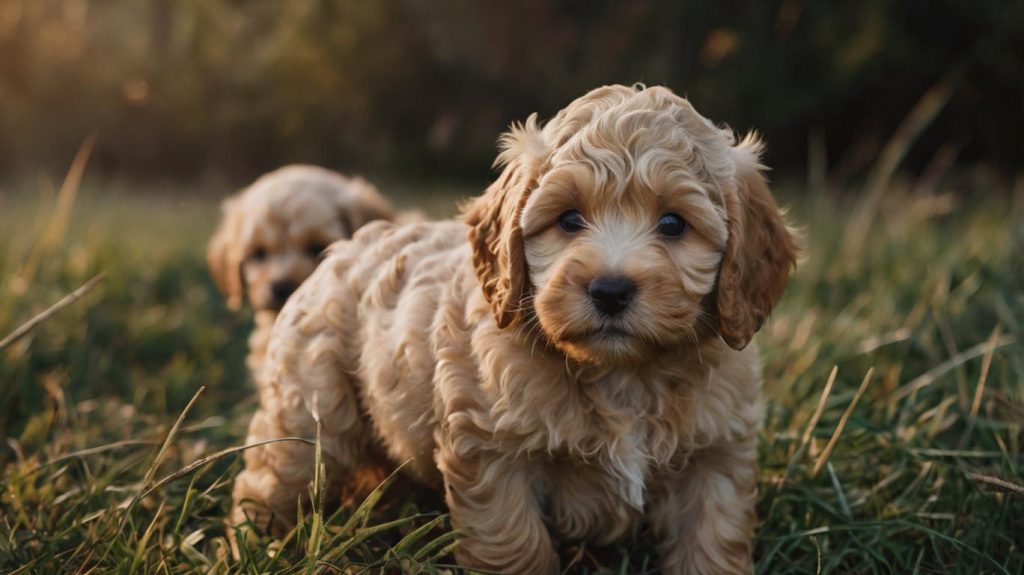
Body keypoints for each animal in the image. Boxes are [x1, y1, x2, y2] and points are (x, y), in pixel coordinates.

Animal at [232, 85, 798, 572]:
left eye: (674, 224)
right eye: (569, 219)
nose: (611, 290)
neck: (622, 374)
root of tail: (340, 250)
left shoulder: (714, 455)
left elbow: (711, 541)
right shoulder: (493, 453)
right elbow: (515, 545)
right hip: (311, 414)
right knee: (275, 477)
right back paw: (255, 543)